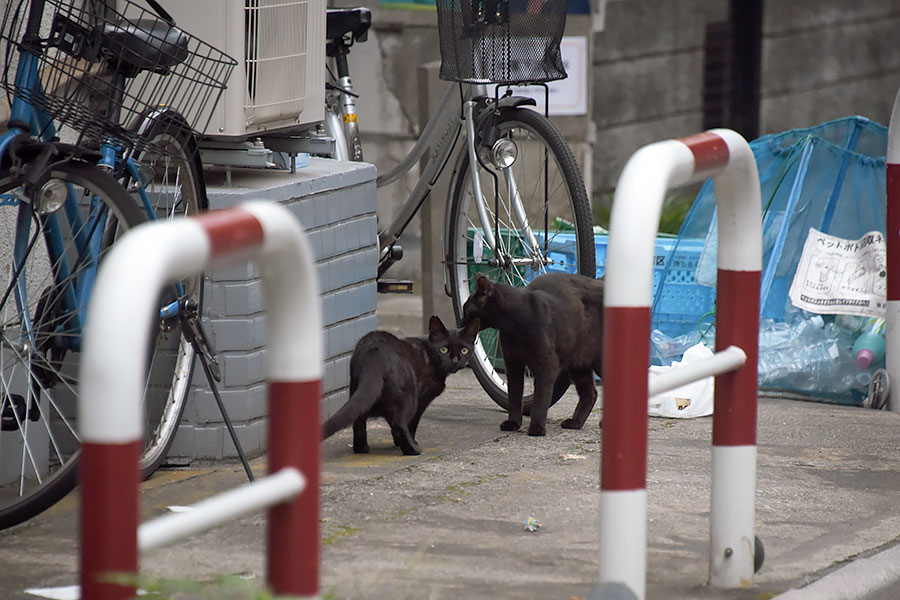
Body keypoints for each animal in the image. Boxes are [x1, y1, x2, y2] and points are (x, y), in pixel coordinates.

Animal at [322, 314, 478, 454]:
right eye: (443, 349)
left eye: (464, 350)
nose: (455, 361)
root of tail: (376, 351)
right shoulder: (422, 400)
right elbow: (412, 423)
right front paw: (410, 441)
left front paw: (397, 442)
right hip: (409, 395)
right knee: (399, 423)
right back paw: (413, 450)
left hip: (359, 390)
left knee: (359, 420)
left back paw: (362, 449)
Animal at [460, 272, 600, 436]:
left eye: (467, 311)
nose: (460, 324)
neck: (514, 326)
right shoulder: (513, 364)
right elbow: (514, 395)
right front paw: (513, 423)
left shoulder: (546, 366)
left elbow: (540, 398)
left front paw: (536, 429)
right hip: (577, 365)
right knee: (590, 393)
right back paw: (575, 423)